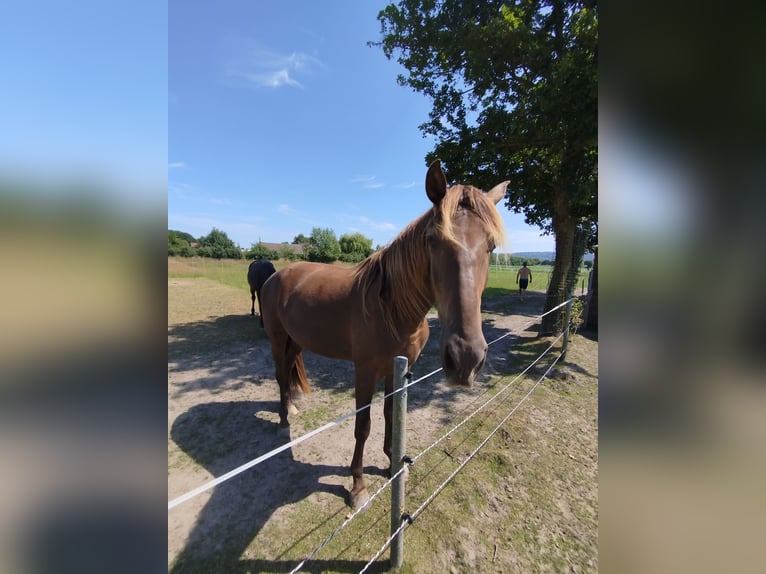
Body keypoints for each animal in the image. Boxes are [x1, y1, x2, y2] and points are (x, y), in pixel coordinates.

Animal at [259, 160, 508, 509]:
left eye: (491, 245)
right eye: (433, 240)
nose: (465, 359)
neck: (393, 308)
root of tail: (276, 275)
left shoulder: (398, 368)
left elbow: (393, 415)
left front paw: (394, 464)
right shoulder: (365, 371)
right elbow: (363, 426)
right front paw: (358, 487)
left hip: (296, 341)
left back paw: (291, 408)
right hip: (278, 338)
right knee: (281, 375)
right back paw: (284, 422)